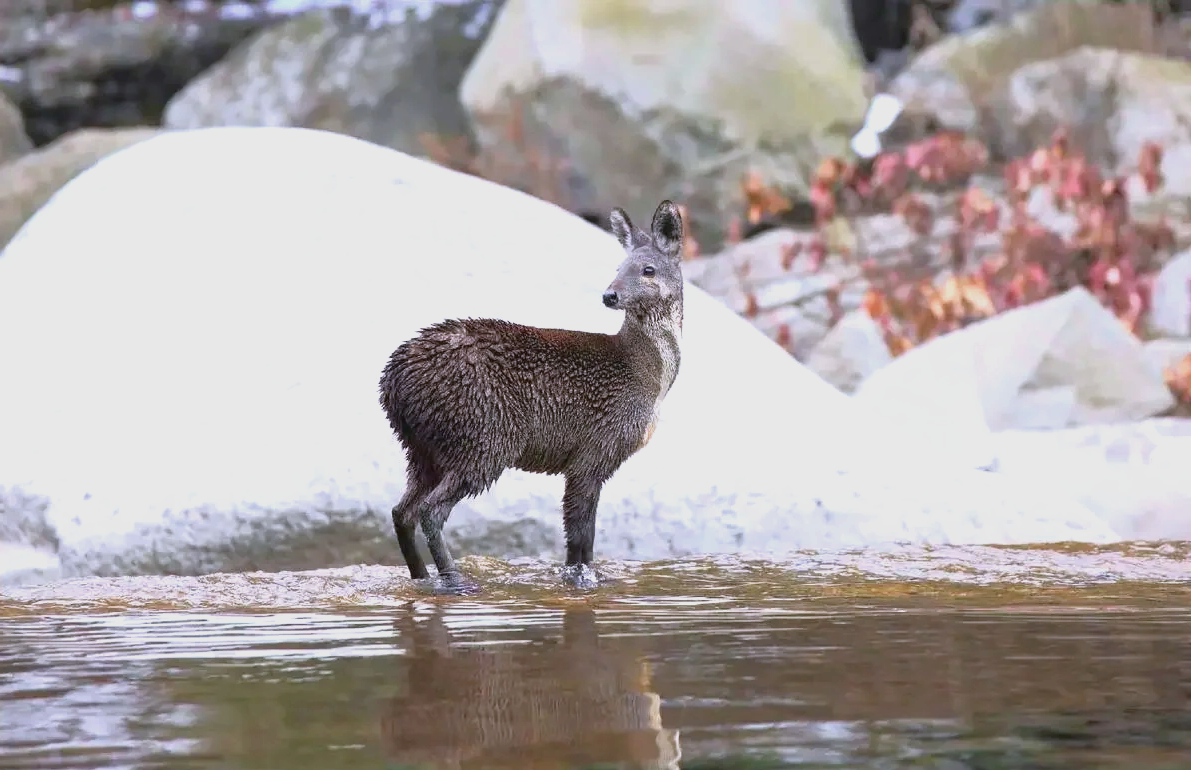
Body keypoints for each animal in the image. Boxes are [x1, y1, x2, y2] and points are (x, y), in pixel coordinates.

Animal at [376, 198, 686, 590]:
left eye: (648, 269)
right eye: (618, 267)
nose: (609, 295)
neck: (645, 374)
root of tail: (393, 381)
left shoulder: (587, 457)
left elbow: (576, 540)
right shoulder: (595, 448)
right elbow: (582, 536)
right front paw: (587, 581)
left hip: (423, 447)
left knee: (402, 511)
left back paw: (422, 578)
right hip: (482, 437)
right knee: (430, 511)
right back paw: (456, 581)